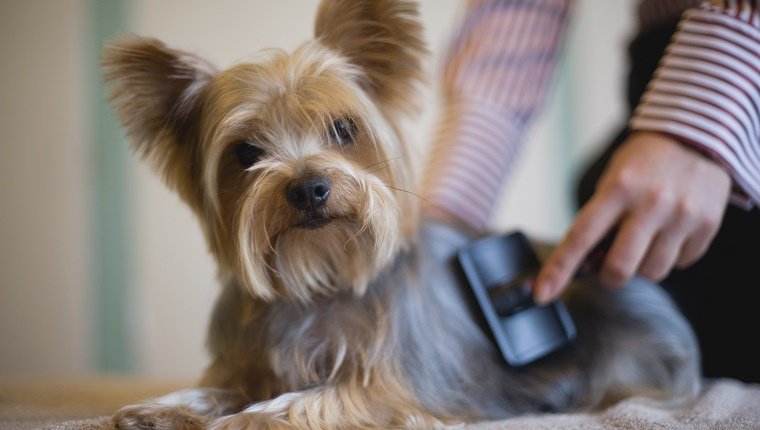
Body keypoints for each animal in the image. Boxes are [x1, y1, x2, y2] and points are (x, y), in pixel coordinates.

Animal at [101, 1, 700, 428]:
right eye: (245, 152)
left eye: (344, 128)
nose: (309, 188)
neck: (320, 275)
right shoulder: (246, 361)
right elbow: (222, 386)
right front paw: (162, 409)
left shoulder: (397, 388)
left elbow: (311, 400)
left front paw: (244, 421)